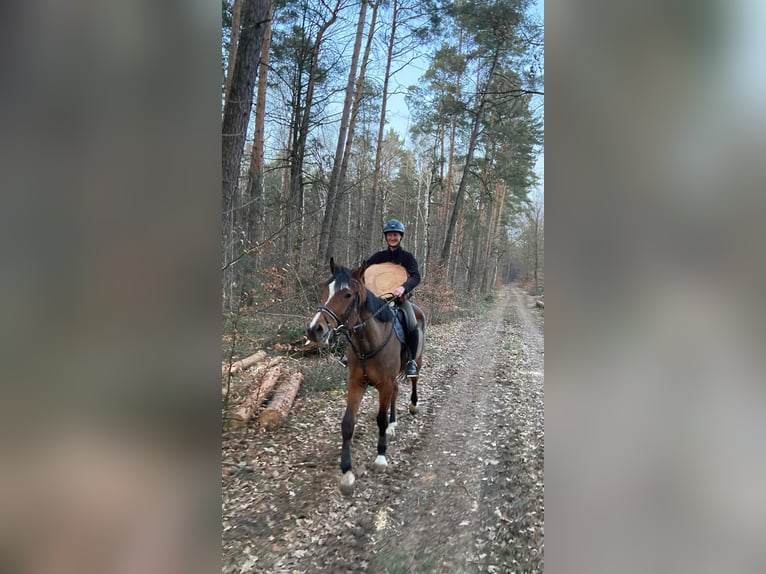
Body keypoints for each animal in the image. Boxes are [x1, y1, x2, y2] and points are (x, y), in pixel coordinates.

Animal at [306, 258, 426, 495]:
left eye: (347, 294)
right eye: (325, 288)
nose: (315, 329)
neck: (368, 341)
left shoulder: (384, 383)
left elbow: (379, 419)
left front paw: (380, 457)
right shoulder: (356, 382)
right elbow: (347, 424)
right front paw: (346, 473)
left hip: (416, 360)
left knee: (414, 380)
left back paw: (413, 405)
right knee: (396, 393)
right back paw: (393, 425)